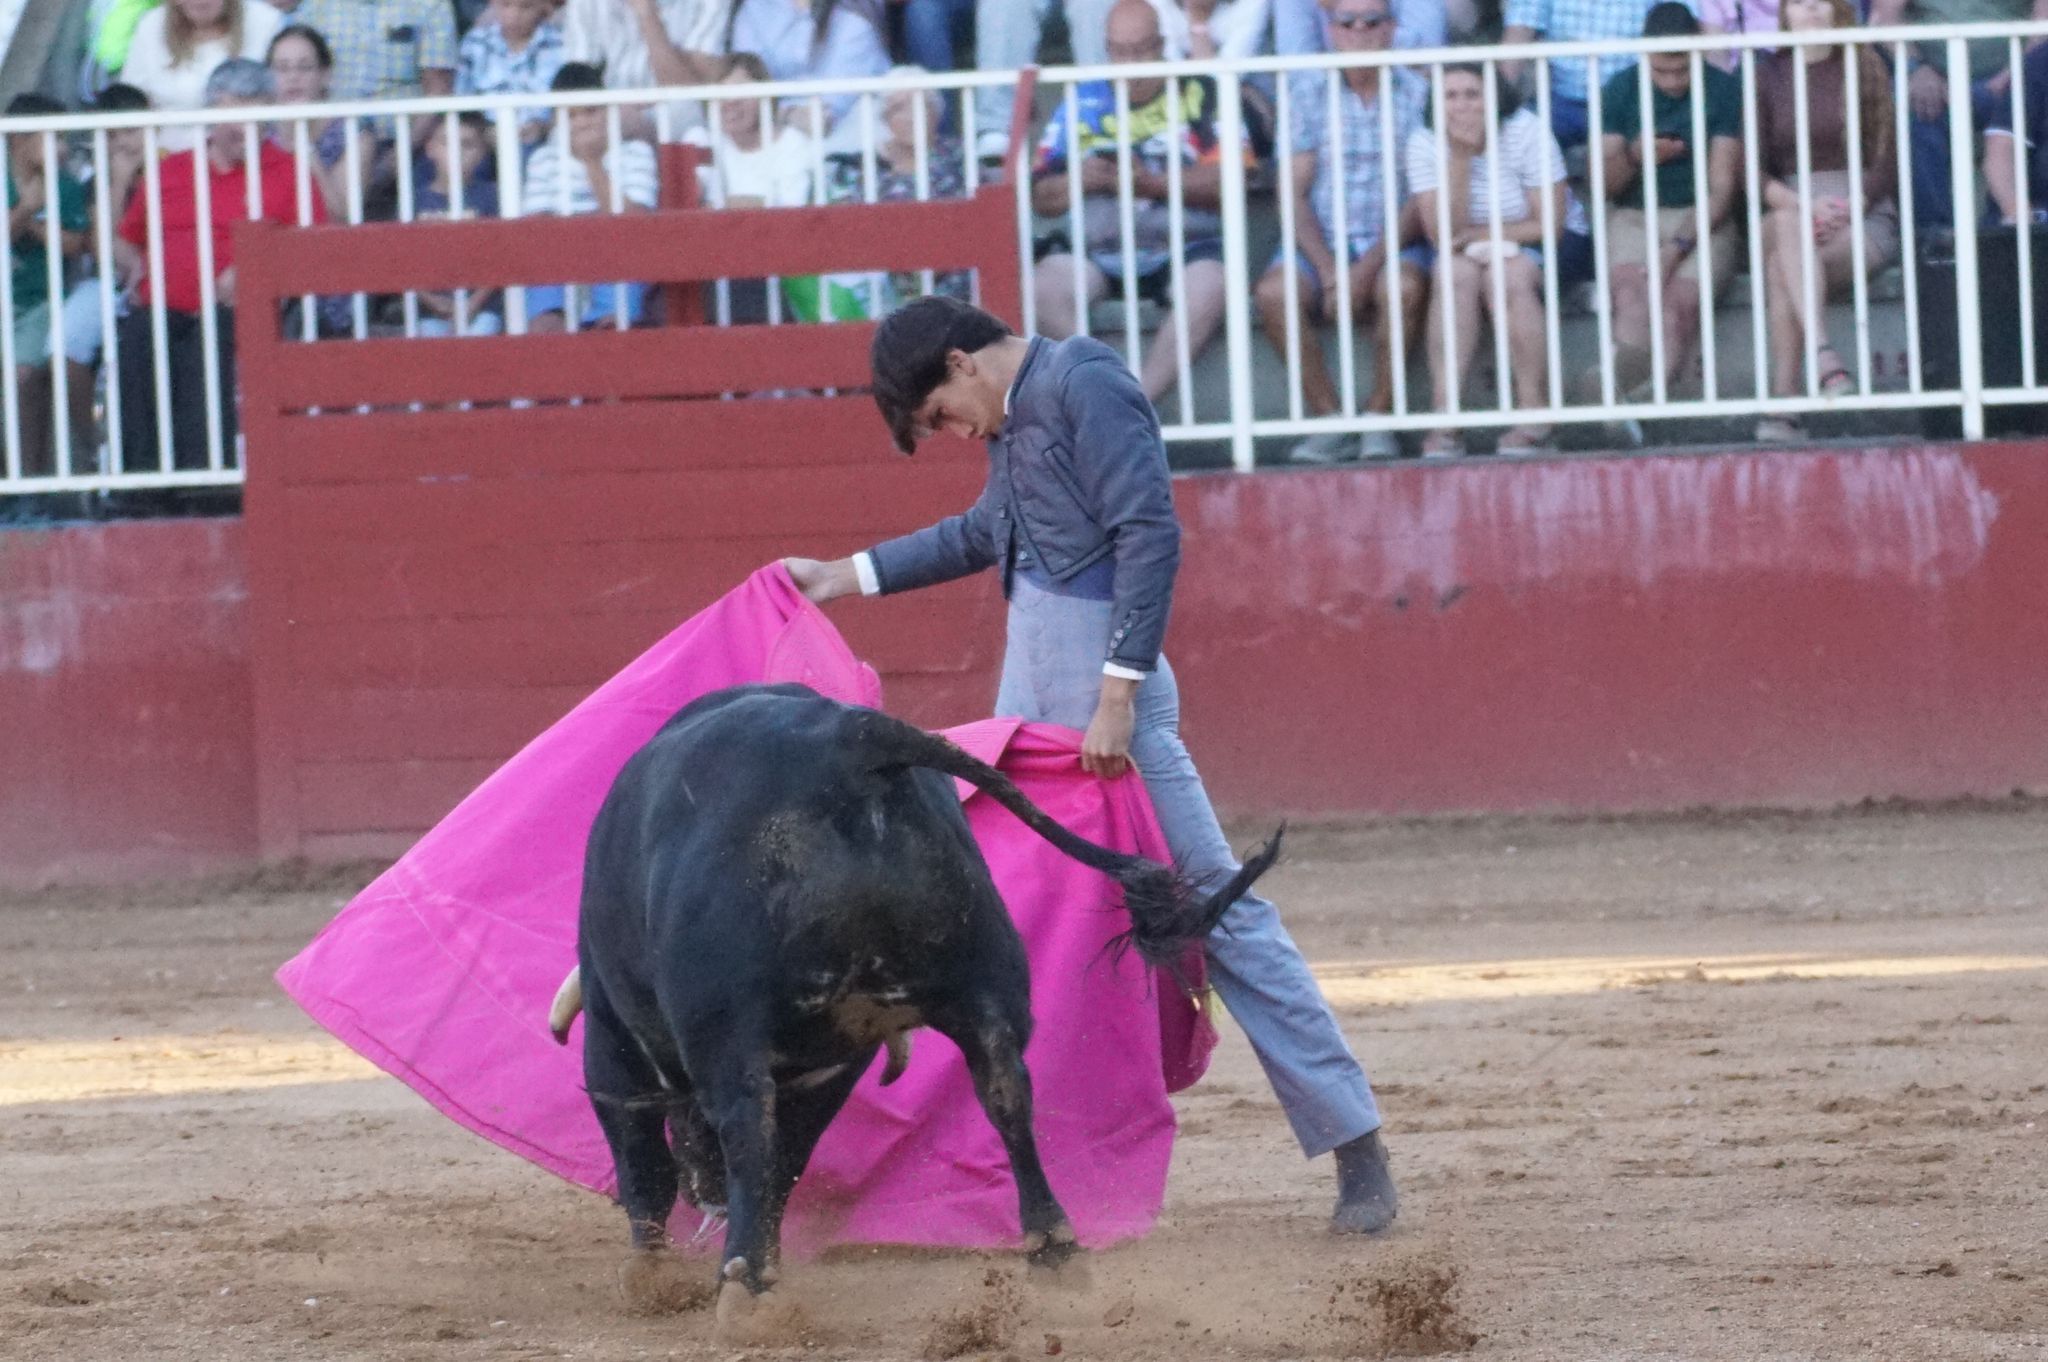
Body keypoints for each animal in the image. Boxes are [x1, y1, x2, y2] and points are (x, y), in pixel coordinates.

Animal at [552, 684, 1269, 1302]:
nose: (706, 1191)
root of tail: (852, 738)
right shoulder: (838, 1059)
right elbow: (791, 1157)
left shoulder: (613, 1037)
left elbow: (644, 1155)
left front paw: (653, 1275)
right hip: (982, 981)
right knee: (1005, 1090)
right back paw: (1054, 1249)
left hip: (729, 1028)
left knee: (747, 1121)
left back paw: (744, 1283)